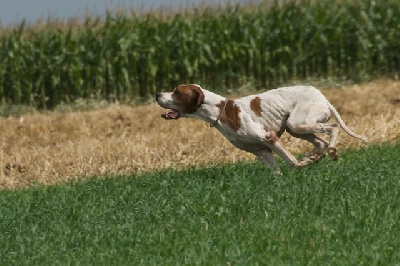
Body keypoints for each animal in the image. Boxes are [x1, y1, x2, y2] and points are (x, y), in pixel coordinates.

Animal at [155, 84, 366, 174]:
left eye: (176, 92)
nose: (157, 94)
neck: (221, 111)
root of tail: (320, 95)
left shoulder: (269, 138)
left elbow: (292, 163)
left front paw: (302, 163)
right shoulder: (260, 151)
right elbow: (277, 172)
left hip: (297, 123)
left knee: (333, 128)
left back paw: (331, 152)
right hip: (295, 128)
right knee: (320, 142)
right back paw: (315, 156)